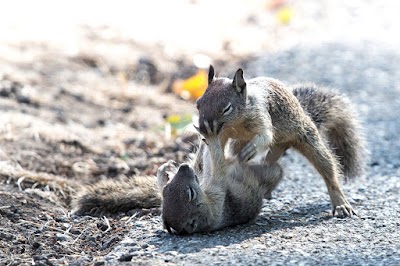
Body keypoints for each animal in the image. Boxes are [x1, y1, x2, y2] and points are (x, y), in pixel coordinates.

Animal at [195, 65, 368, 217]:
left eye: (227, 108)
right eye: (198, 104)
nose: (203, 127)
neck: (236, 123)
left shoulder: (261, 114)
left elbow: (265, 136)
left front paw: (251, 149)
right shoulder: (222, 135)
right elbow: (210, 153)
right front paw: (207, 170)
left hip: (307, 138)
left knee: (328, 170)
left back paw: (340, 204)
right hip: (243, 144)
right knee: (261, 161)